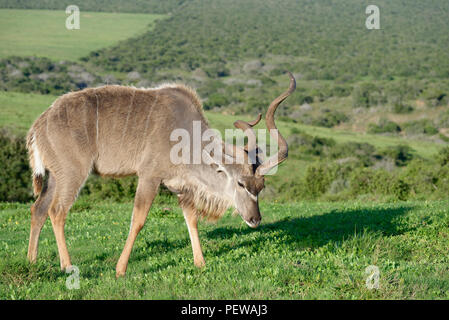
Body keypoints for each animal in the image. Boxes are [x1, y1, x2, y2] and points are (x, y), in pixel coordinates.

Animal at [26, 71, 296, 276]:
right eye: (240, 184)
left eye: (260, 187)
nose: (255, 219)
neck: (186, 135)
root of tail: (39, 124)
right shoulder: (149, 176)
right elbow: (138, 220)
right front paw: (120, 269)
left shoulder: (181, 187)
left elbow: (191, 219)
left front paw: (200, 262)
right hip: (73, 173)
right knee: (57, 211)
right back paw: (67, 266)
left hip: (56, 176)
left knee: (39, 208)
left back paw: (31, 261)